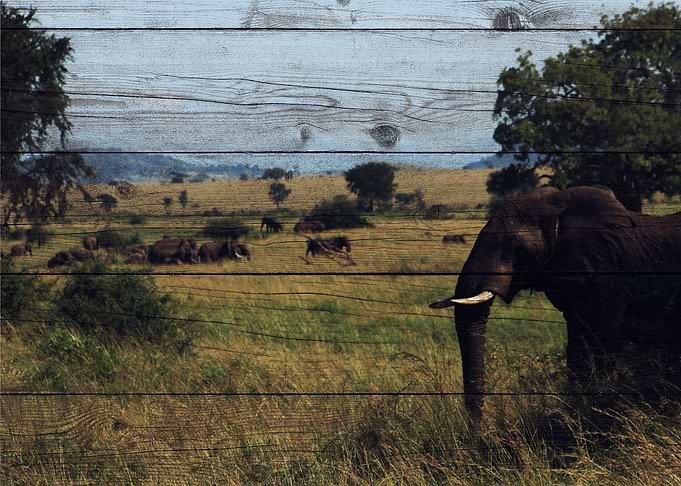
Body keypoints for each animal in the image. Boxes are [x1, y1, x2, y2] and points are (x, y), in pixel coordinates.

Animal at [429, 186, 681, 420]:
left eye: (515, 246)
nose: (478, 432)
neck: (555, 206)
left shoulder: (609, 279)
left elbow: (599, 343)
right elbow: (577, 351)